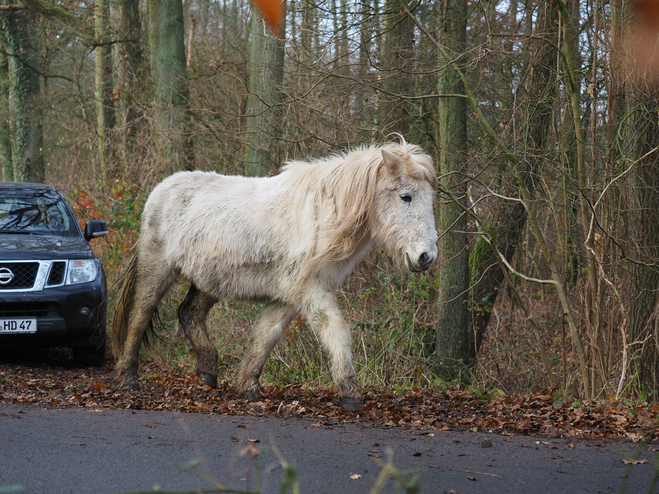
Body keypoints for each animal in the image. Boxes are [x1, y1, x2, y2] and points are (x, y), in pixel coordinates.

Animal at [113, 137, 438, 412]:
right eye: (406, 197)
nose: (427, 257)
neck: (322, 217)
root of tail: (163, 187)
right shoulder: (310, 291)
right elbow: (335, 330)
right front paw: (350, 395)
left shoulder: (289, 296)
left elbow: (266, 336)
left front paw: (247, 386)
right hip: (157, 269)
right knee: (140, 314)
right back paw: (128, 377)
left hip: (209, 281)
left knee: (189, 312)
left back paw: (208, 370)